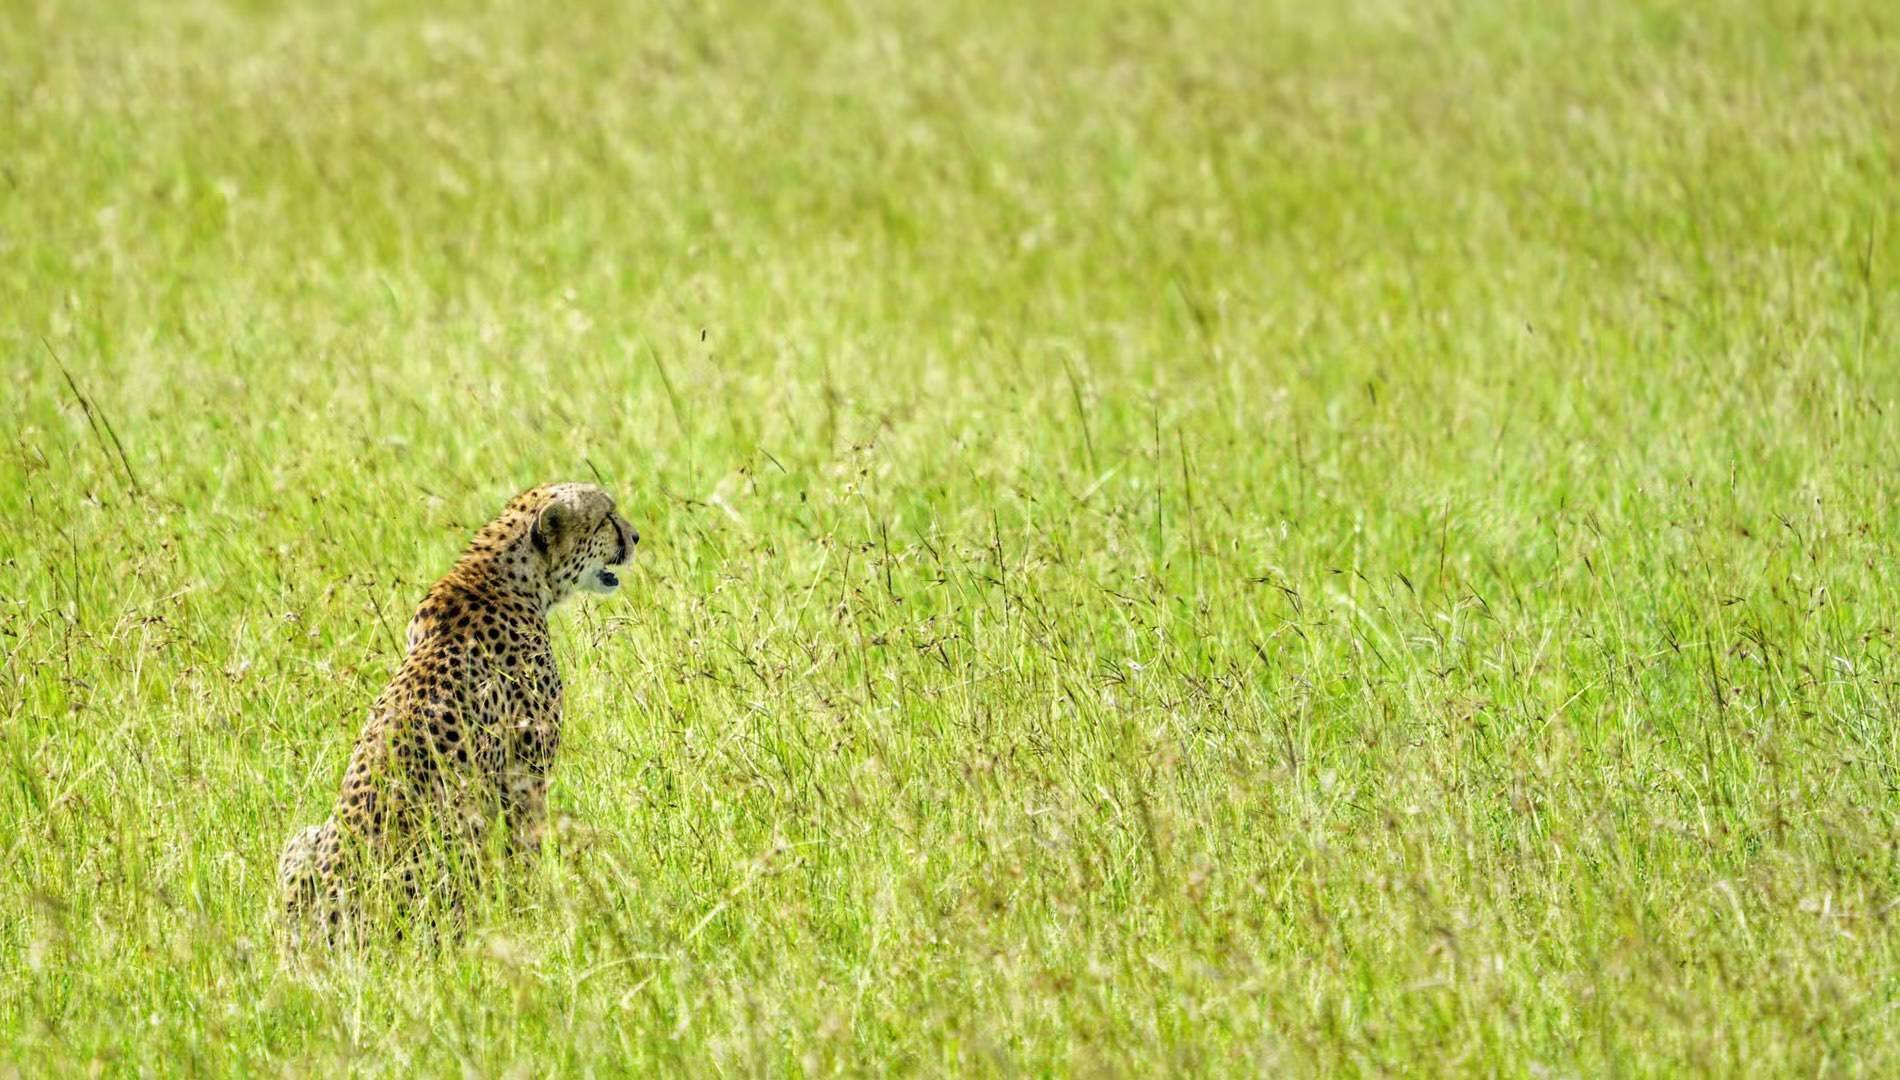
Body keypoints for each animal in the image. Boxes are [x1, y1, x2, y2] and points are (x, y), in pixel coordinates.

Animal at [279, 484, 638, 939]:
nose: (636, 536)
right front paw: (537, 908)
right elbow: (528, 850)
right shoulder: (525, 773)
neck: (507, 575)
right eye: (606, 517)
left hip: (302, 839)